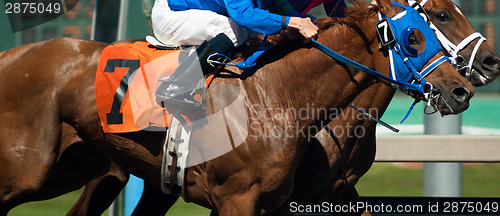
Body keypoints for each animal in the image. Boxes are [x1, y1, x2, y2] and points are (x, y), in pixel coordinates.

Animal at [0, 0, 484, 216]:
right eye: (416, 35)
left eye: (433, 25)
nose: (462, 90)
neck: (278, 98)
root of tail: (12, 55)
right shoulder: (236, 200)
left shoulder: (296, 198)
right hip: (31, 171)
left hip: (80, 164)